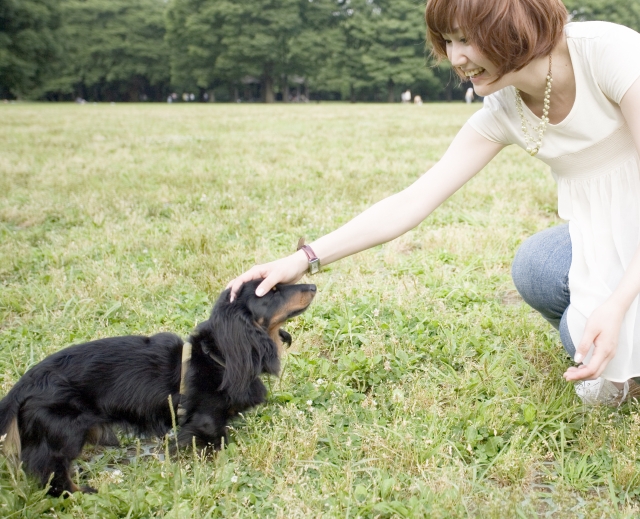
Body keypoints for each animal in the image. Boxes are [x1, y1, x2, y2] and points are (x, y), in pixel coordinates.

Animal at [0, 280, 316, 496]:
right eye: (272, 291)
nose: (312, 285)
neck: (220, 355)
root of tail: (26, 382)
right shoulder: (206, 420)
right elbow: (217, 442)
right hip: (65, 435)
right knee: (53, 477)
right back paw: (81, 494)